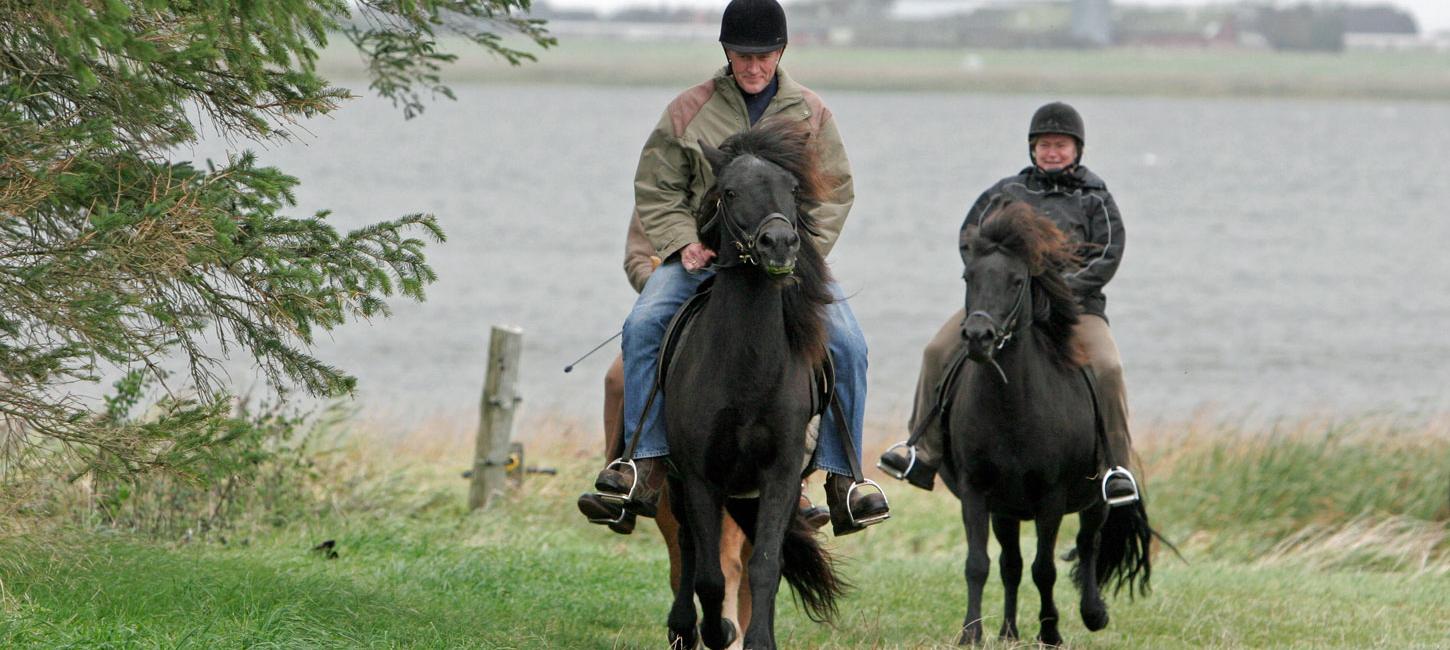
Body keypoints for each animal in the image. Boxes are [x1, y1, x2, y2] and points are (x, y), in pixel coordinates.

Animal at [664, 118, 846, 650]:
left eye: (793, 188)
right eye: (728, 190)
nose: (780, 244)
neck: (747, 374)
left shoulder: (781, 476)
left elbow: (766, 566)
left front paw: (759, 640)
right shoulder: (700, 479)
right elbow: (708, 576)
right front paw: (716, 630)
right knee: (688, 548)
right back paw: (685, 628)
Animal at [939, 201, 1154, 644]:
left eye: (1017, 280)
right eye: (969, 277)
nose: (978, 337)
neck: (1012, 409)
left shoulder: (1050, 497)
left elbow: (1045, 569)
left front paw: (1051, 633)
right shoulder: (977, 491)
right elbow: (979, 564)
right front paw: (971, 634)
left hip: (1094, 498)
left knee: (1088, 544)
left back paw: (1093, 613)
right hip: (1005, 511)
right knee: (1011, 565)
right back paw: (1008, 632)